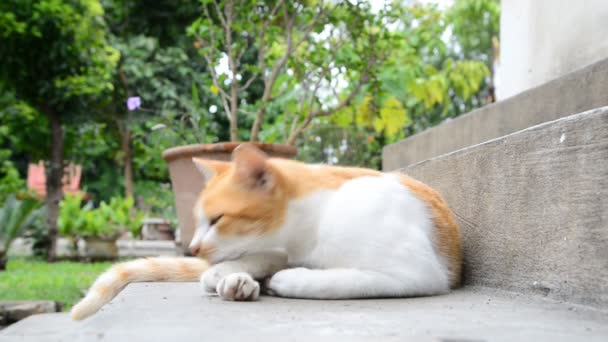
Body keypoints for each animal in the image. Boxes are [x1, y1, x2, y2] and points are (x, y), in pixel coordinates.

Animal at [70, 144, 460, 320]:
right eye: (198, 220)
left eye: (217, 219)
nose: (193, 247)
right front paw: (231, 274)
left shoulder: (417, 273)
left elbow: (343, 279)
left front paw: (292, 280)